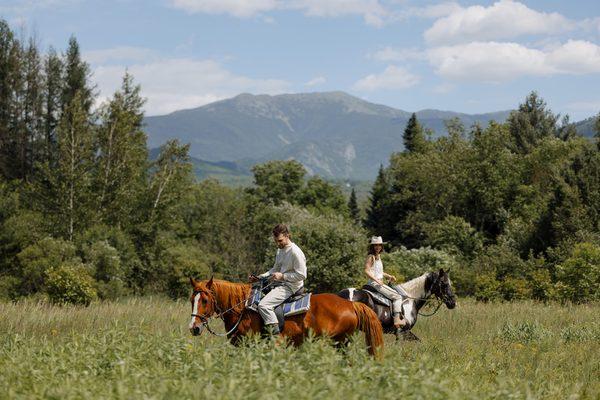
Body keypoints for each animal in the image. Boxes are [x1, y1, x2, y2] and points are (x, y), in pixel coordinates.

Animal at [189, 278, 384, 356]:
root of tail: (351, 304)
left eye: (205, 300)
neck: (243, 309)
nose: (194, 328)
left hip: (340, 341)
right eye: (192, 299)